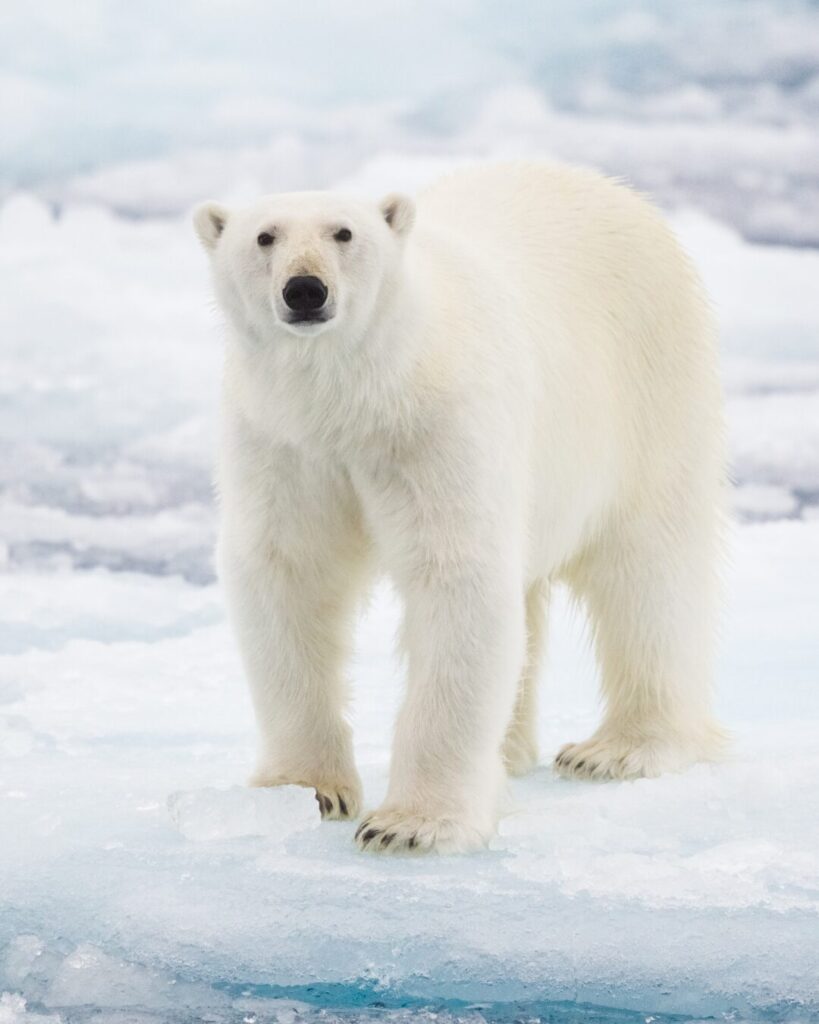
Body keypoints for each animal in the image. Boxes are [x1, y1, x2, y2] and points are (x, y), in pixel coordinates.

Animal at [193, 160, 727, 856]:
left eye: (344, 232)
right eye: (264, 236)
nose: (305, 290)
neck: (357, 396)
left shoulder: (437, 427)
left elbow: (456, 578)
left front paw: (409, 824)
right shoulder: (284, 442)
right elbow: (288, 571)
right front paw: (303, 789)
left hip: (649, 387)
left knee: (648, 572)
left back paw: (619, 749)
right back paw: (513, 750)